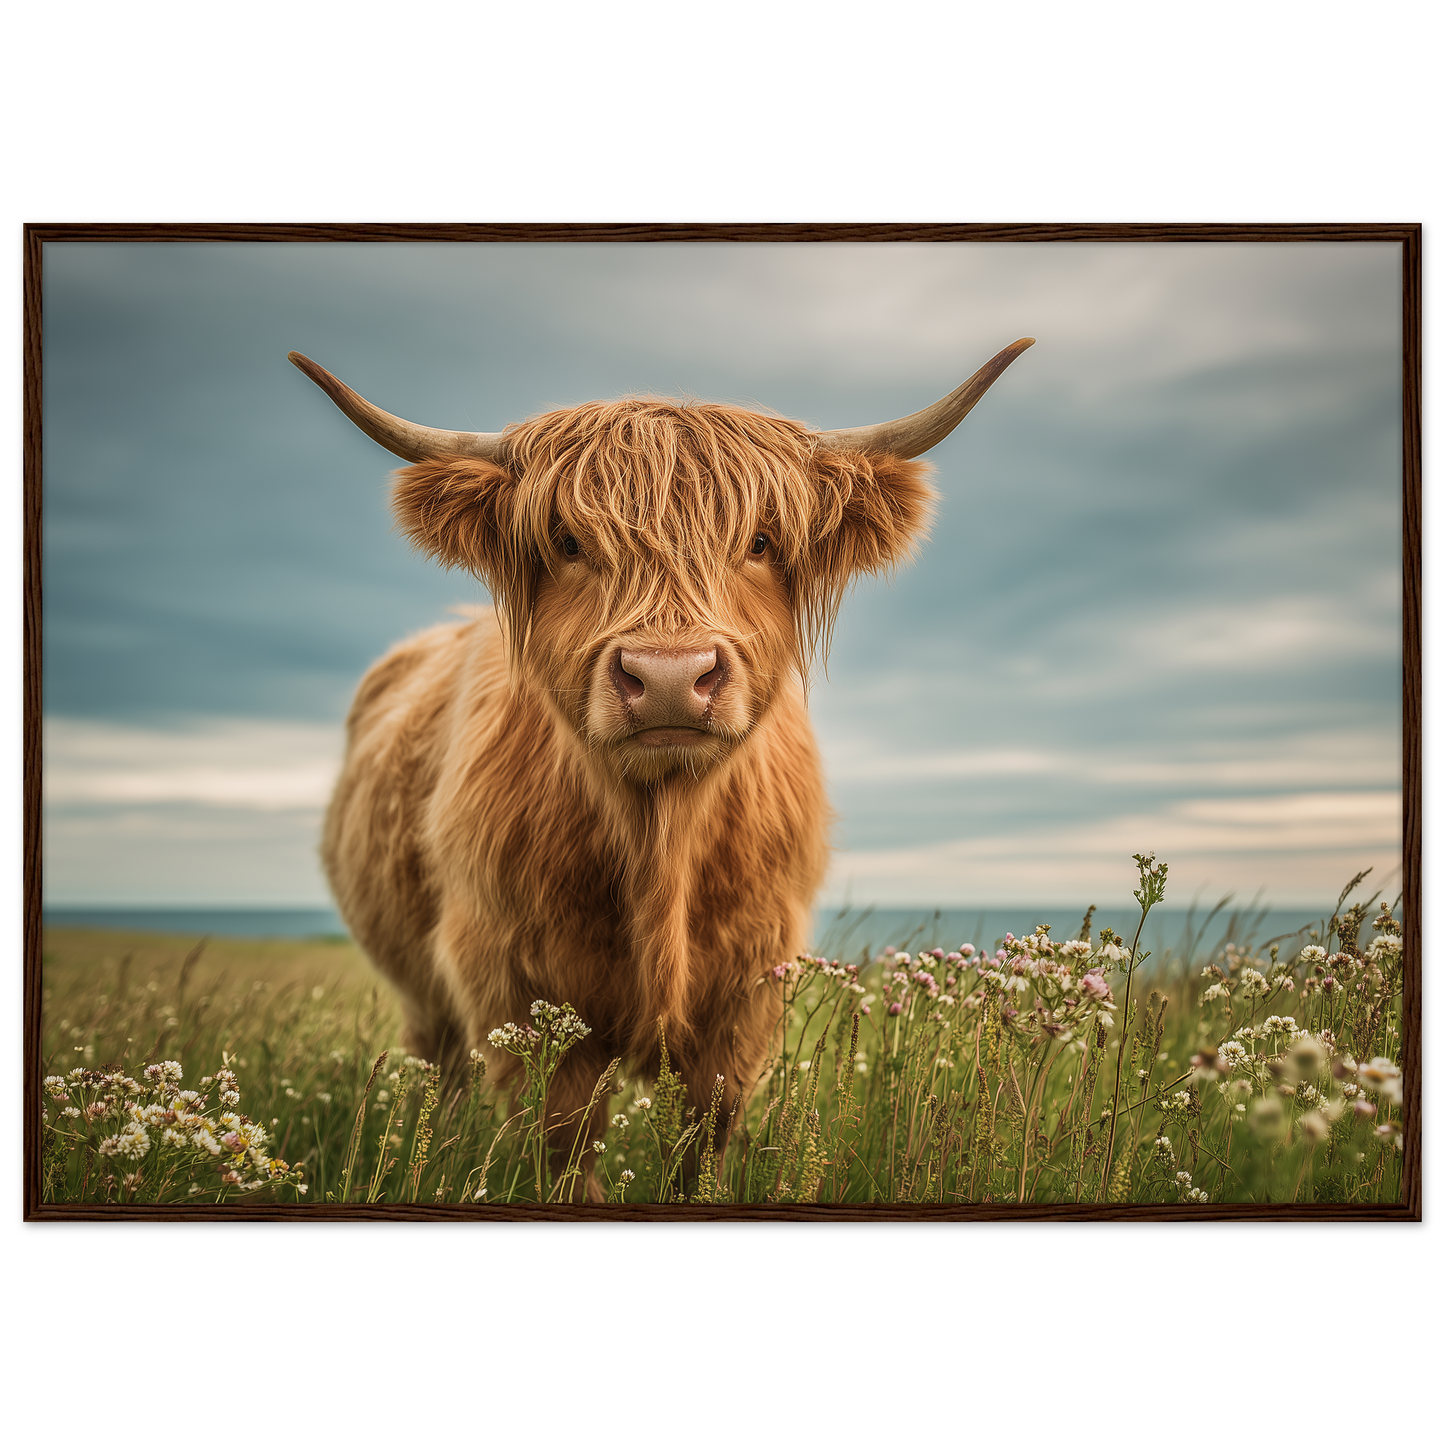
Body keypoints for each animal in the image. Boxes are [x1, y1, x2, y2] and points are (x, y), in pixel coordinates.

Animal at [292, 338, 1033, 1199]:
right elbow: (564, 1141)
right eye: (568, 543)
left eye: (759, 542)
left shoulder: (746, 992)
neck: (661, 833)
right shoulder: (514, 983)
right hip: (424, 996)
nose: (671, 676)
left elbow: (704, 1136)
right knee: (439, 1073)